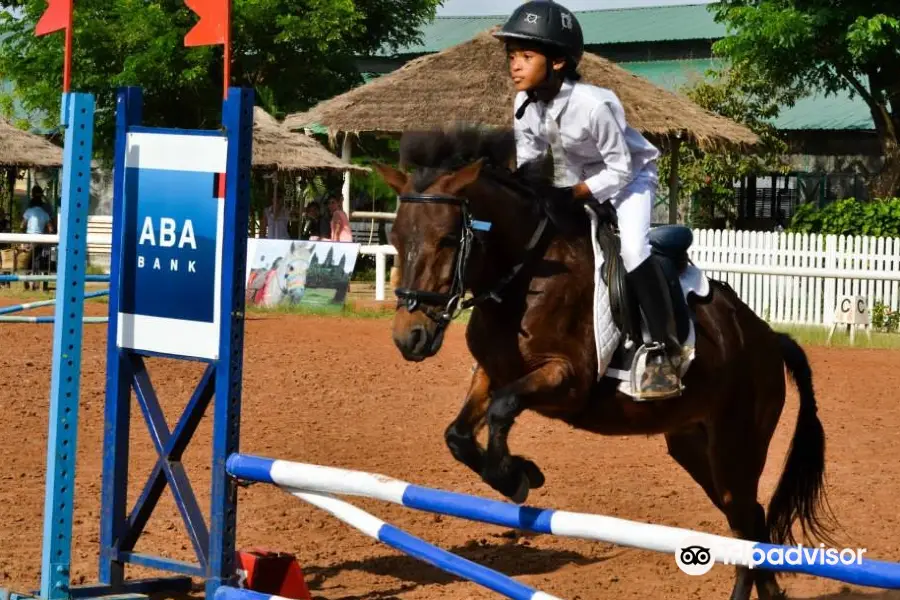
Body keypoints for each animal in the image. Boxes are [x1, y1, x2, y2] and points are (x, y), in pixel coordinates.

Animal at [372, 127, 836, 600]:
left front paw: (518, 476)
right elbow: (458, 435)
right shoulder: (493, 372)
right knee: (747, 521)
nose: (409, 337)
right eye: (396, 237)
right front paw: (518, 472)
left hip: (736, 444)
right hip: (692, 443)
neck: (525, 276)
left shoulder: (568, 380)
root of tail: (769, 339)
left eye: (448, 239)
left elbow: (503, 410)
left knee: (746, 521)